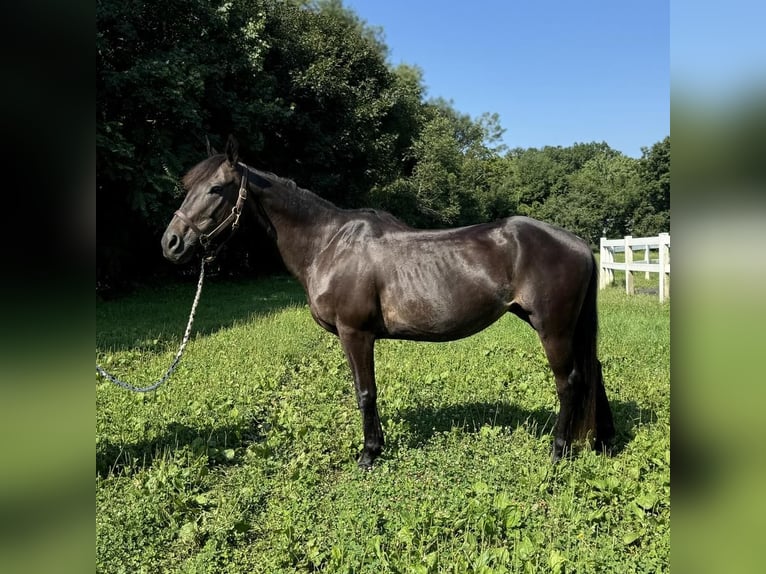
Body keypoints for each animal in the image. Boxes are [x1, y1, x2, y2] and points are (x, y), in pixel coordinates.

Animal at [162, 137, 616, 470]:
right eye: (187, 188)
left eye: (216, 188)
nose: (171, 243)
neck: (328, 244)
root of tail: (577, 242)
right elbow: (365, 391)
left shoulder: (355, 334)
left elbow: (365, 392)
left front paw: (368, 454)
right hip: (568, 327)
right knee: (593, 372)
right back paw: (604, 440)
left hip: (553, 328)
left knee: (570, 382)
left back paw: (558, 450)